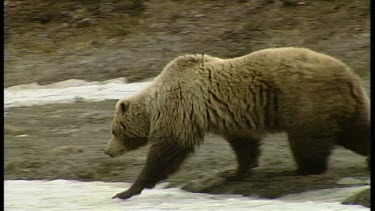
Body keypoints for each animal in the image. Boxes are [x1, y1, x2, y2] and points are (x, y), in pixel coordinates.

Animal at [104, 47, 372, 200]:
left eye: (115, 130)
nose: (108, 151)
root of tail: (350, 77)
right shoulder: (229, 115)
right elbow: (244, 145)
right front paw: (236, 172)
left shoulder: (181, 111)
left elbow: (167, 152)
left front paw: (126, 191)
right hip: (343, 105)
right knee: (358, 132)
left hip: (304, 99)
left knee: (306, 140)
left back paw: (299, 169)